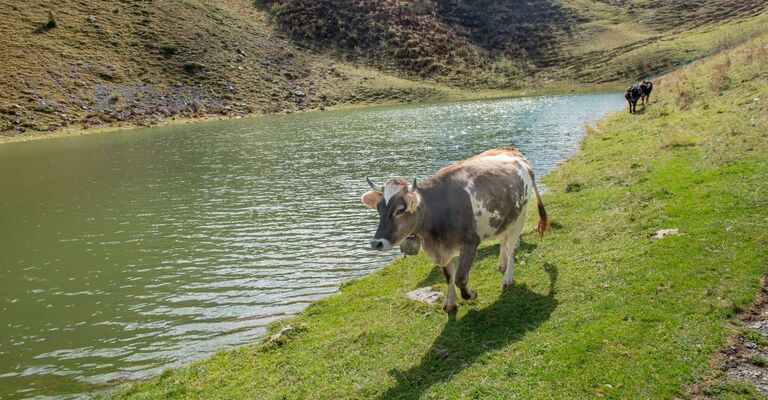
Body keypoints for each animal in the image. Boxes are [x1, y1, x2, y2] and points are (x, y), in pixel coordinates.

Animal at [361, 147, 548, 312]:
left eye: (400, 210)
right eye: (378, 208)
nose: (376, 243)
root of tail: (517, 155)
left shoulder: (470, 243)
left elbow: (460, 278)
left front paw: (471, 294)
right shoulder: (443, 248)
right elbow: (449, 276)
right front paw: (450, 303)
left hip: (521, 215)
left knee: (512, 247)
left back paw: (507, 278)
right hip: (506, 218)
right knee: (504, 239)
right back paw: (501, 263)